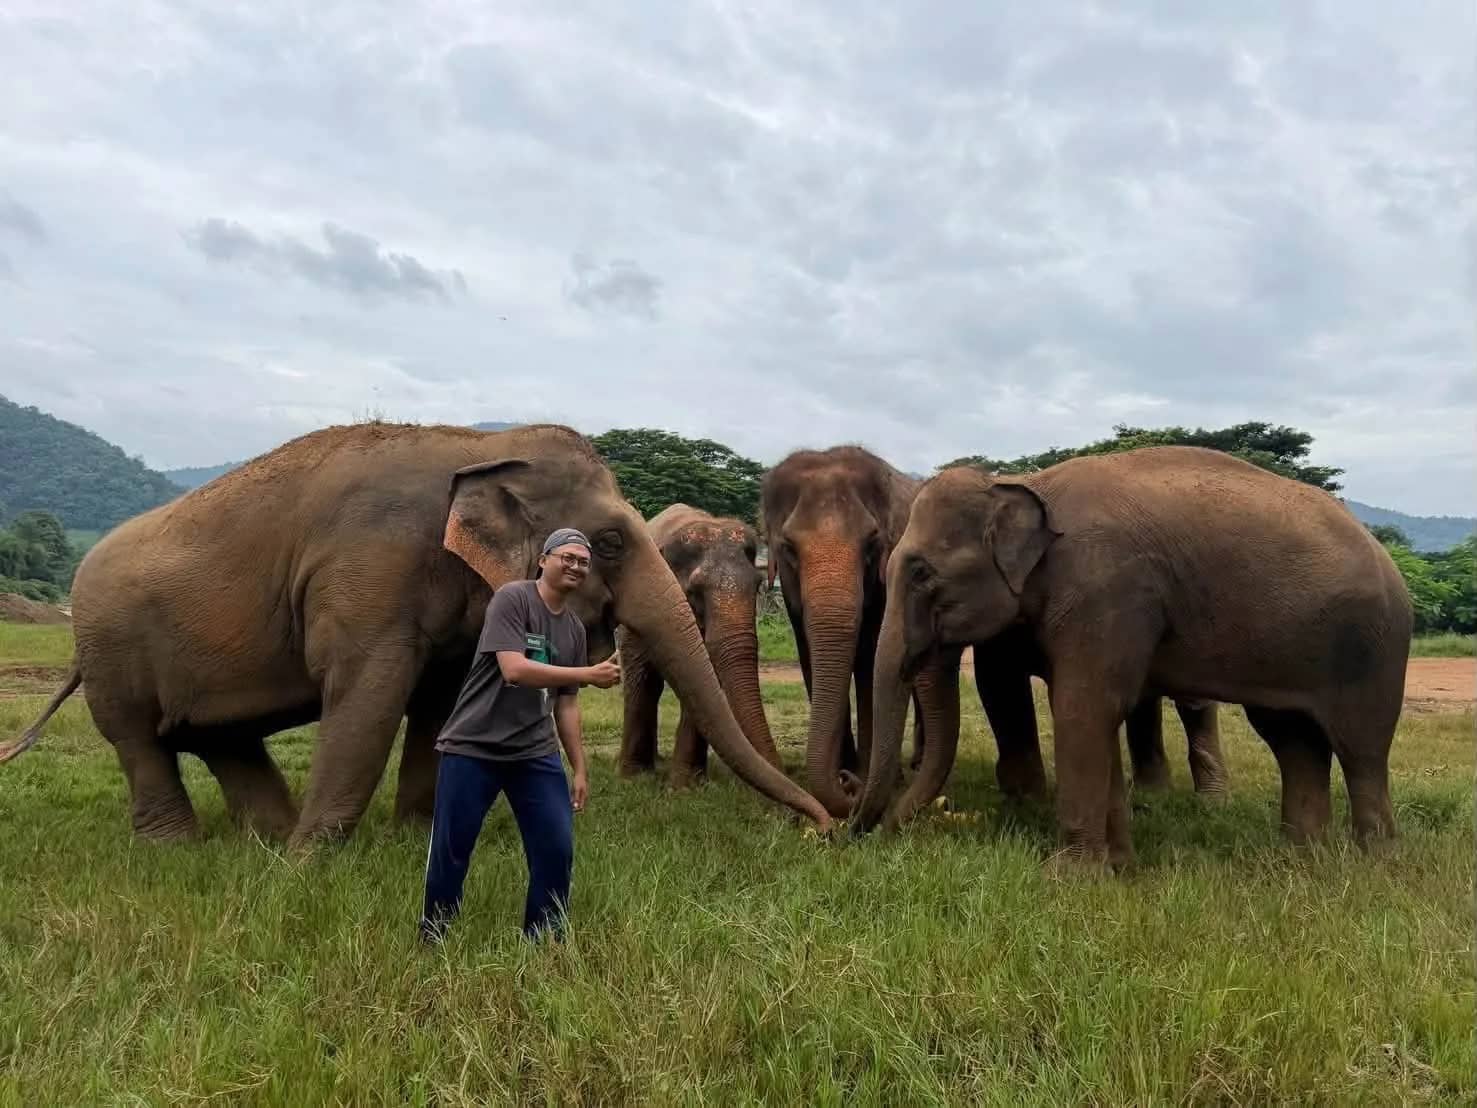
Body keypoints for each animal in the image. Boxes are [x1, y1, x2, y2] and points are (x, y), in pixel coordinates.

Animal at [760, 445, 950, 818]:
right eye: (788, 547)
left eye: (872, 543)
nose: (848, 784)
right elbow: (810, 658)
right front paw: (846, 772)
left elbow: (868, 660)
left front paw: (863, 775)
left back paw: (913, 766)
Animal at [853, 445, 1411, 866]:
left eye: (921, 572)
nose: (863, 832)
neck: (1025, 484)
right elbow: (1094, 712)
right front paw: (1118, 867)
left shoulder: (1105, 589)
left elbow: (1083, 708)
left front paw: (1070, 877)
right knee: (1293, 740)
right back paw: (1302, 856)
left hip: (1374, 647)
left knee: (1361, 748)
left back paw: (1372, 862)